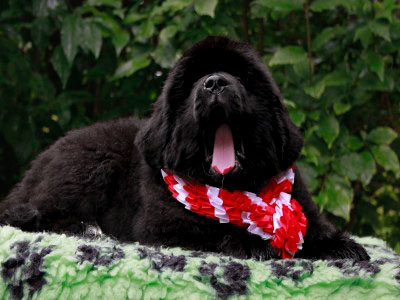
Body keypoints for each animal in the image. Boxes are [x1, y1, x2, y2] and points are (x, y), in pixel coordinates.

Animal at [0, 37, 368, 260]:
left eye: (241, 77)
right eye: (193, 81)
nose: (215, 82)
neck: (236, 189)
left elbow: (316, 229)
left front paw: (341, 246)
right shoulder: (165, 226)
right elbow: (214, 232)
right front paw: (252, 242)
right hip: (90, 165)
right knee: (37, 211)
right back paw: (85, 228)